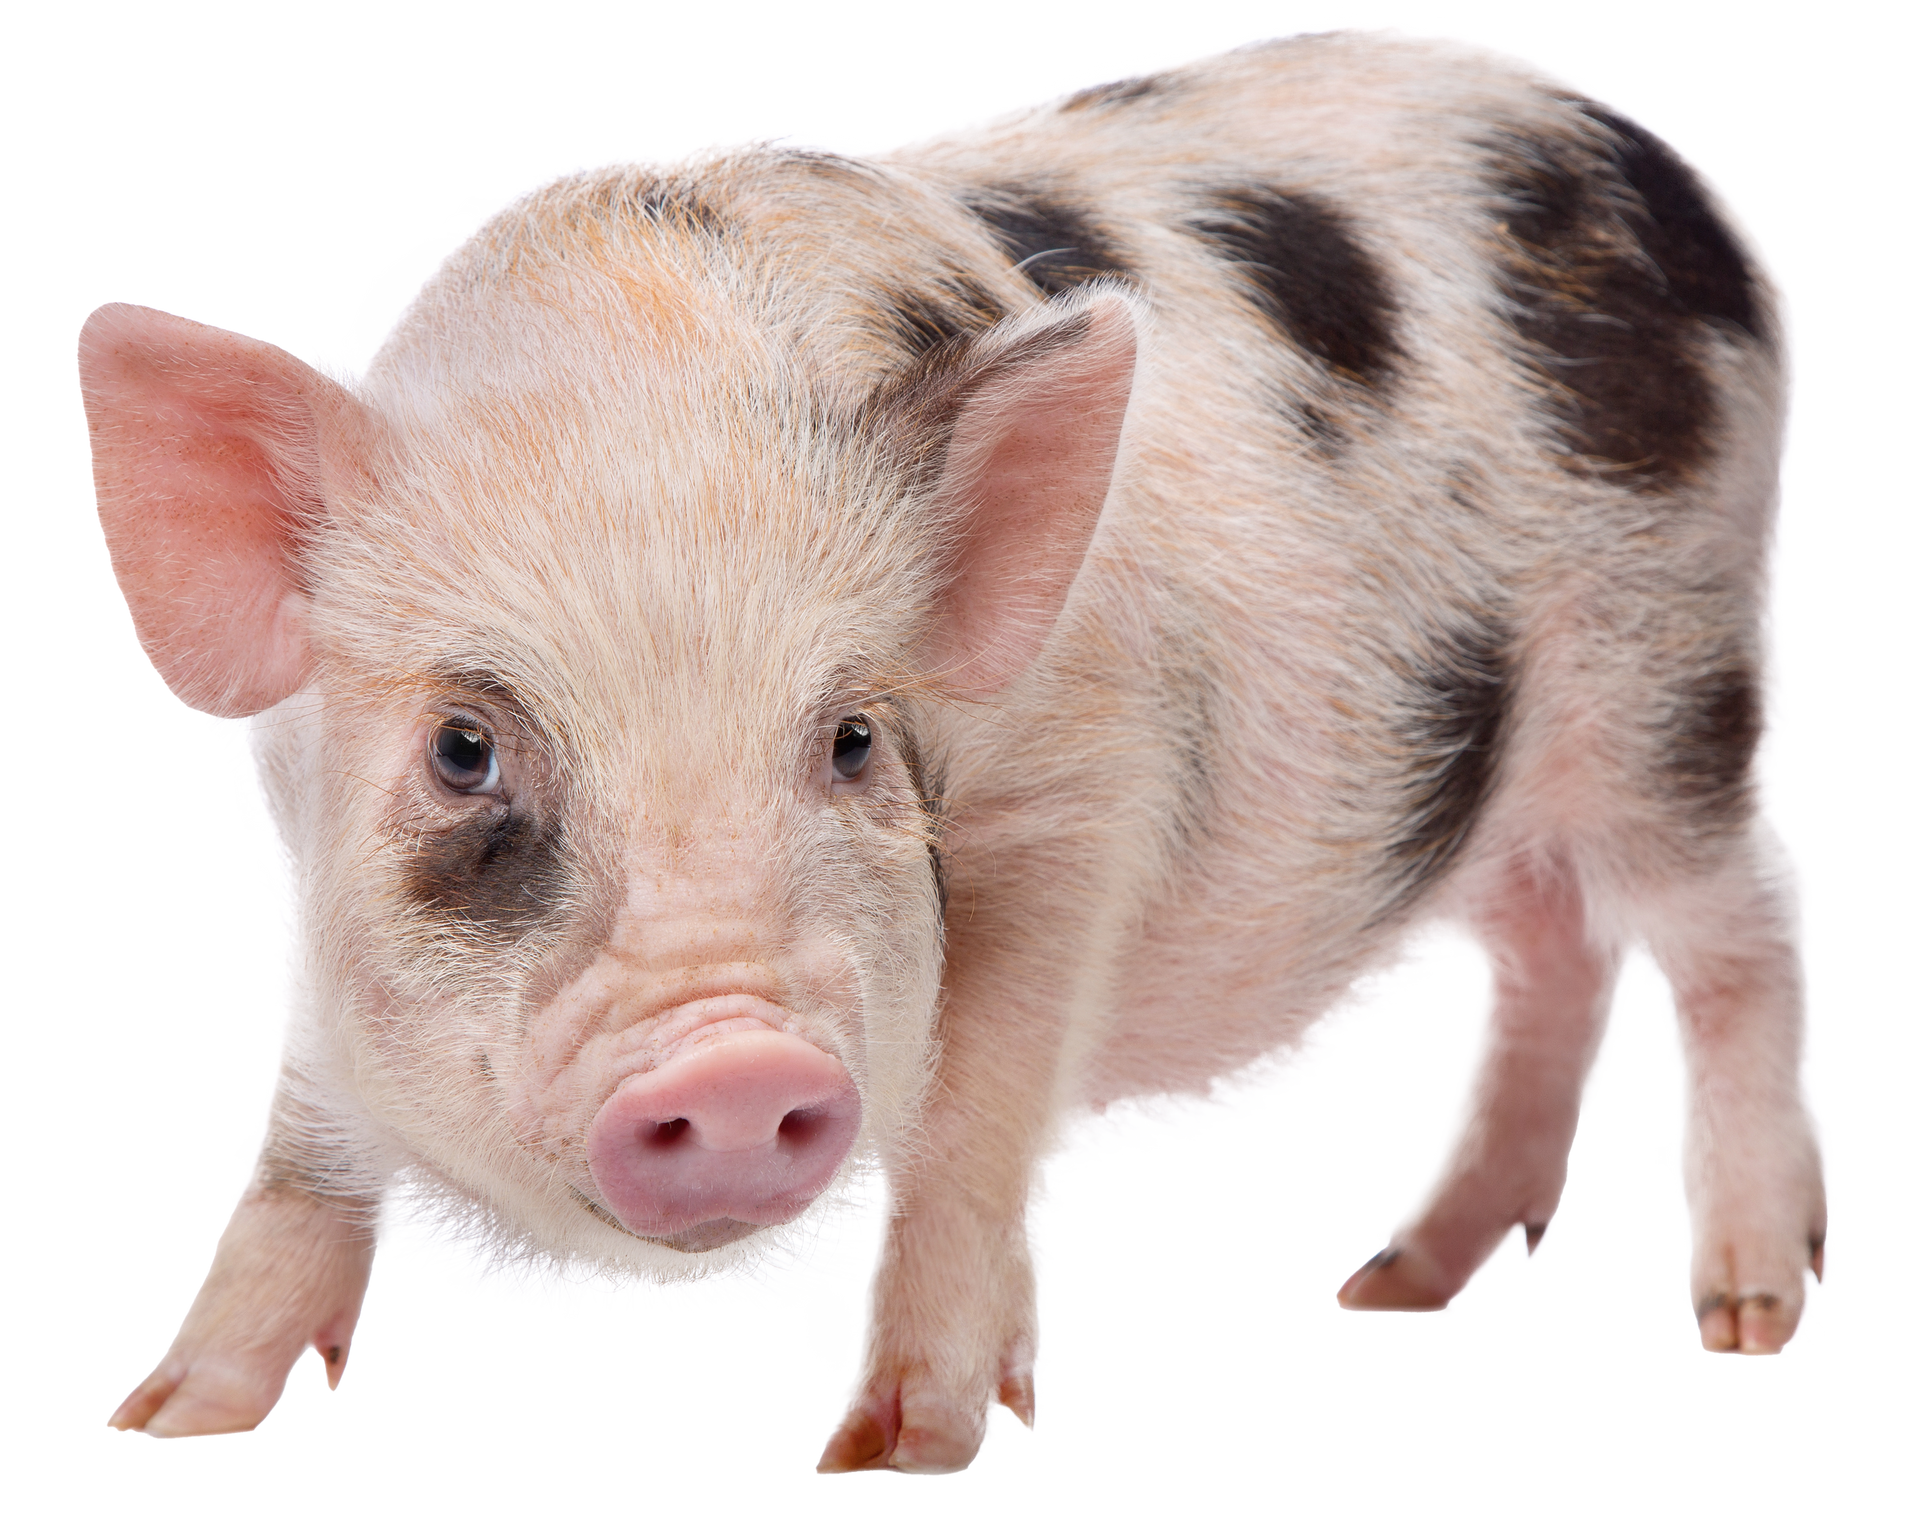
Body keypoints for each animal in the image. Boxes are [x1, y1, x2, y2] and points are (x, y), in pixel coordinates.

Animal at [76, 15, 1831, 1474]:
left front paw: (901, 1451)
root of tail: (1665, 177)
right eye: (460, 749)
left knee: (1742, 915)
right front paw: (171, 1417)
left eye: (854, 738)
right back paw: (1398, 1285)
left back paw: (1744, 1308)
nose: (733, 1065)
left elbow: (978, 1108)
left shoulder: (1077, 791)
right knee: (1550, 942)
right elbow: (302, 1144)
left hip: (1673, 669)